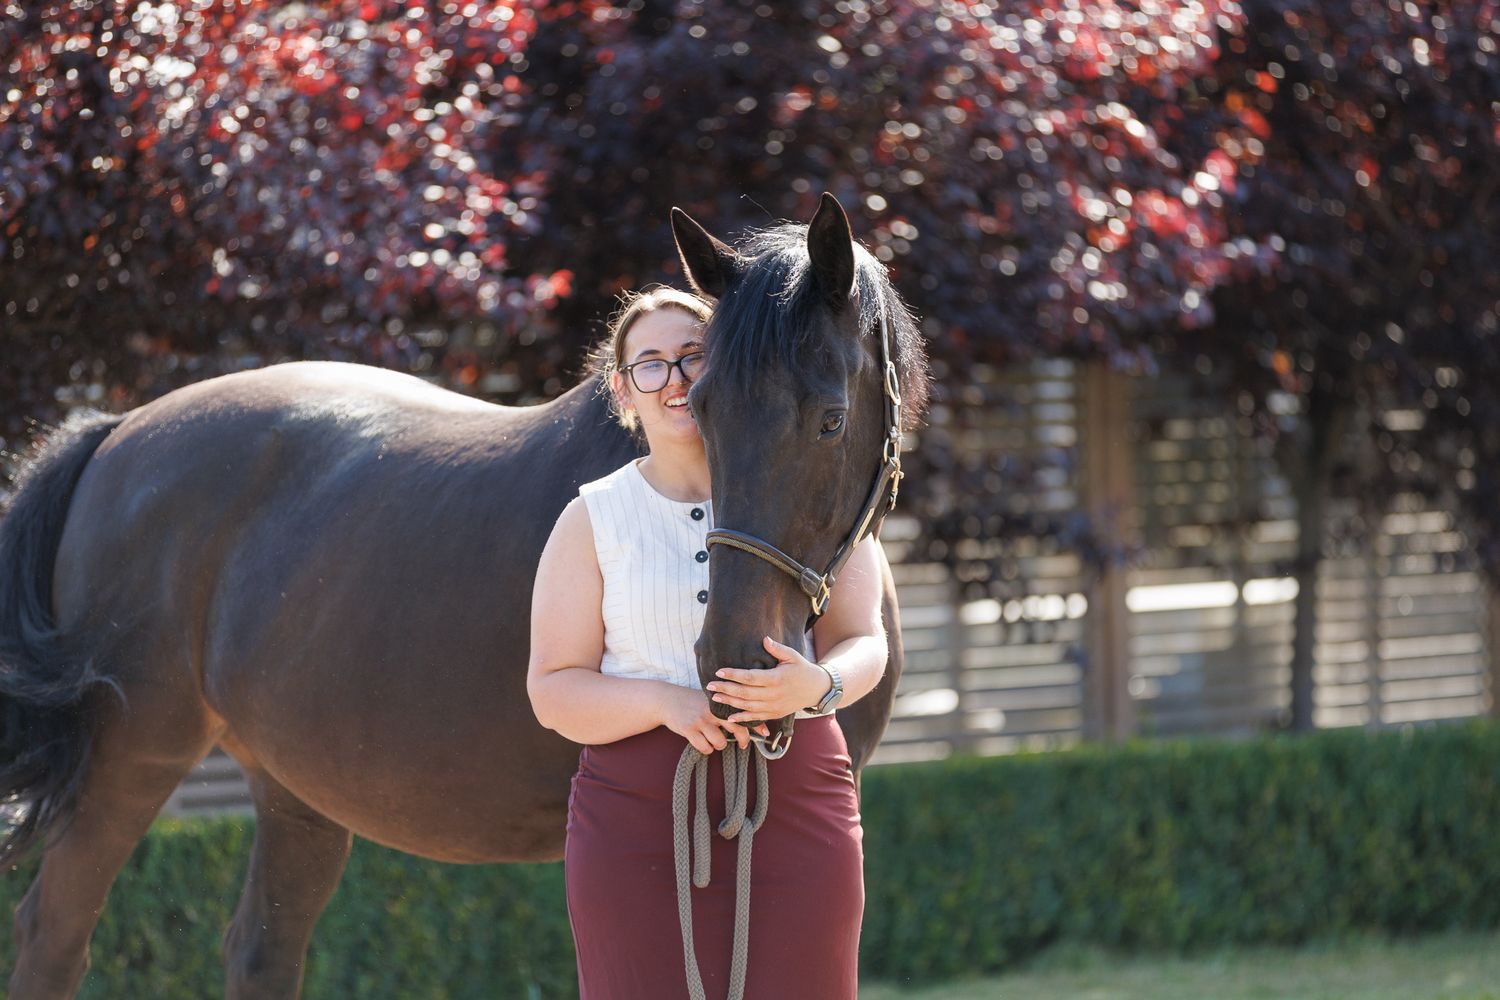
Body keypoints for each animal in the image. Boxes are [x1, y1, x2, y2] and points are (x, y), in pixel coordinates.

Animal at [0, 193, 928, 998]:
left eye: (830, 418)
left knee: (260, 950)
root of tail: (114, 433)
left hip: (294, 791)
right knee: (53, 936)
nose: (733, 657)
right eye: (698, 406)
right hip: (128, 763)